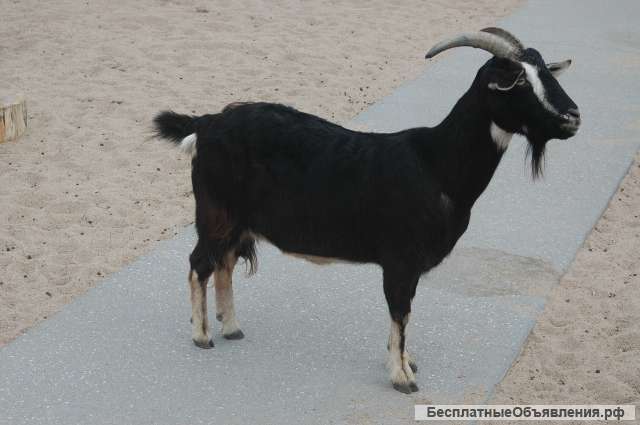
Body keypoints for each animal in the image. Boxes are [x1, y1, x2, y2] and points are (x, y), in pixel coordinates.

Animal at [153, 28, 580, 394]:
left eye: (546, 72)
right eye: (518, 81)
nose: (572, 117)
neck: (437, 164)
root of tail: (206, 124)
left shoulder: (410, 265)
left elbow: (406, 313)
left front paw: (407, 361)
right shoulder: (400, 260)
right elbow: (400, 313)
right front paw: (402, 376)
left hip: (235, 221)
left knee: (223, 265)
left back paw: (231, 327)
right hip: (215, 213)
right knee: (199, 264)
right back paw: (202, 335)